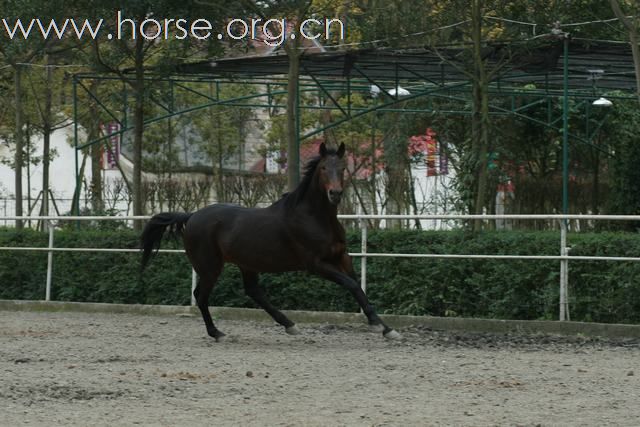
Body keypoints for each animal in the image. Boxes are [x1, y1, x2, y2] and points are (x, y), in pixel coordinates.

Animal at [140, 143, 400, 342]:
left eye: (343, 168)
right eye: (324, 168)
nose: (335, 194)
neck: (314, 218)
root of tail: (191, 216)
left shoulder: (341, 257)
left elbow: (358, 287)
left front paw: (386, 328)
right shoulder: (316, 264)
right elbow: (352, 285)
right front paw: (379, 326)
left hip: (246, 263)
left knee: (253, 291)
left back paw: (289, 325)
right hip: (210, 266)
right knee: (201, 295)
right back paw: (218, 333)